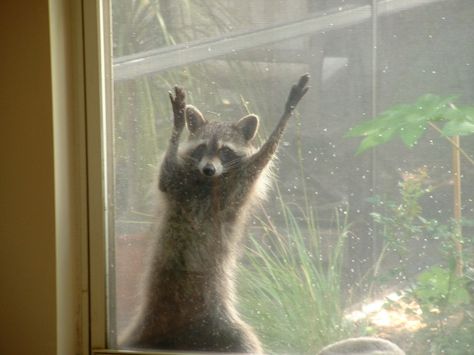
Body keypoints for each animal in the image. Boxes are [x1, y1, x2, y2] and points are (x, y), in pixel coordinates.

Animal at [120, 74, 310, 354]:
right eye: (201, 148)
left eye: (225, 151)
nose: (209, 168)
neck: (208, 182)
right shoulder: (175, 183)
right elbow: (168, 166)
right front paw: (177, 124)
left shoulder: (240, 183)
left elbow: (264, 155)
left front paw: (288, 111)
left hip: (223, 325)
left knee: (247, 344)